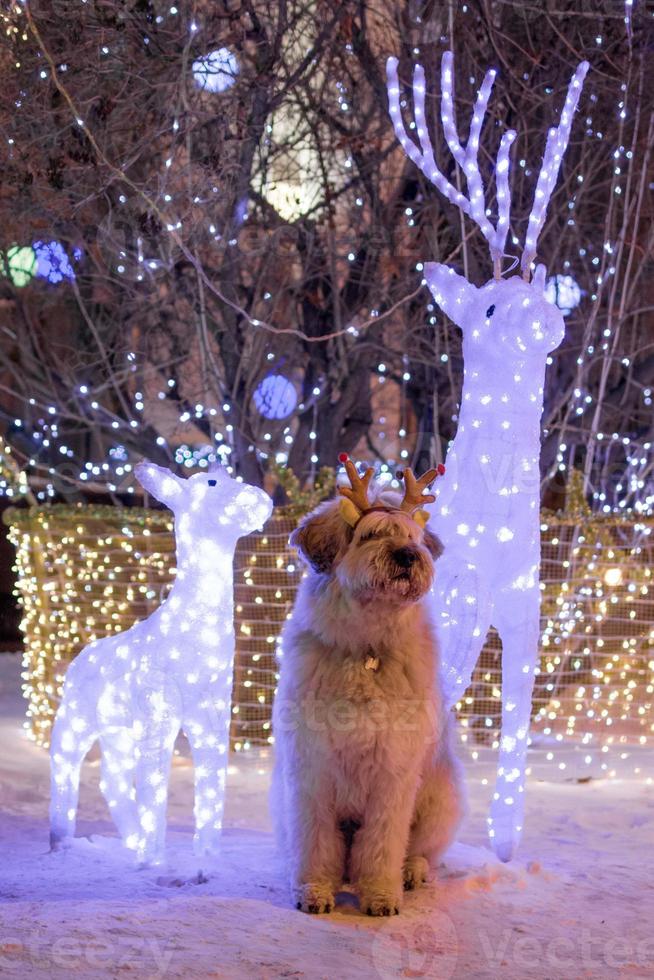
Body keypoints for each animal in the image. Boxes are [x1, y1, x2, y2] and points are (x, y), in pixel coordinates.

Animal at [50, 464, 272, 860]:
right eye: (211, 483)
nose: (260, 499)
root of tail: (78, 659)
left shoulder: (213, 714)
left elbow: (211, 782)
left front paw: (207, 857)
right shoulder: (159, 711)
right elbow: (155, 786)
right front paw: (154, 860)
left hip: (118, 730)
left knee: (112, 780)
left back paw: (131, 841)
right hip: (76, 719)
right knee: (65, 765)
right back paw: (62, 841)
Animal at [272, 464, 466, 916]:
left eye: (411, 536)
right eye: (371, 534)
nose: (408, 556)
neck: (366, 650)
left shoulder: (392, 773)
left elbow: (382, 842)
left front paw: (380, 894)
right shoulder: (311, 769)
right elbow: (316, 841)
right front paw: (314, 890)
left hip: (439, 800)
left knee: (422, 851)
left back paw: (410, 872)